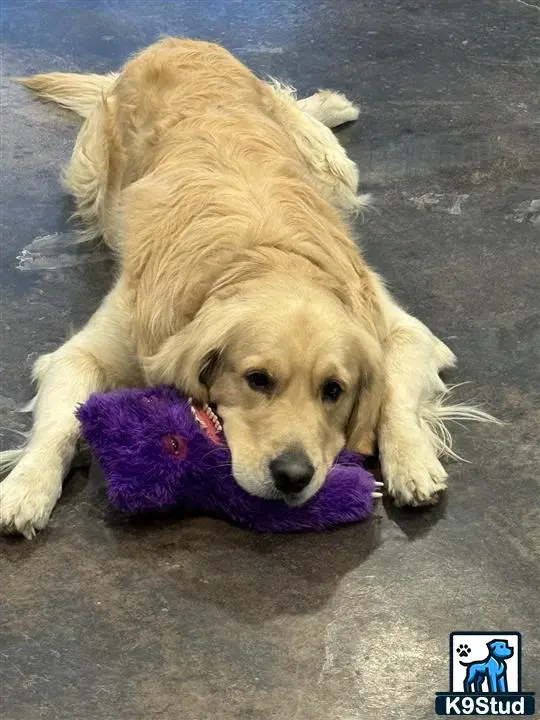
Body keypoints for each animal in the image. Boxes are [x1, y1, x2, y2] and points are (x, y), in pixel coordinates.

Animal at [0, 38, 490, 536]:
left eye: (333, 390)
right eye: (257, 380)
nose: (293, 475)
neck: (262, 259)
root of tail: (173, 42)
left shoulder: (394, 323)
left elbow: (393, 390)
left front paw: (412, 460)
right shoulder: (88, 350)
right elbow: (60, 424)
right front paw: (25, 487)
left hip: (333, 172)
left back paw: (330, 105)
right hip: (90, 181)